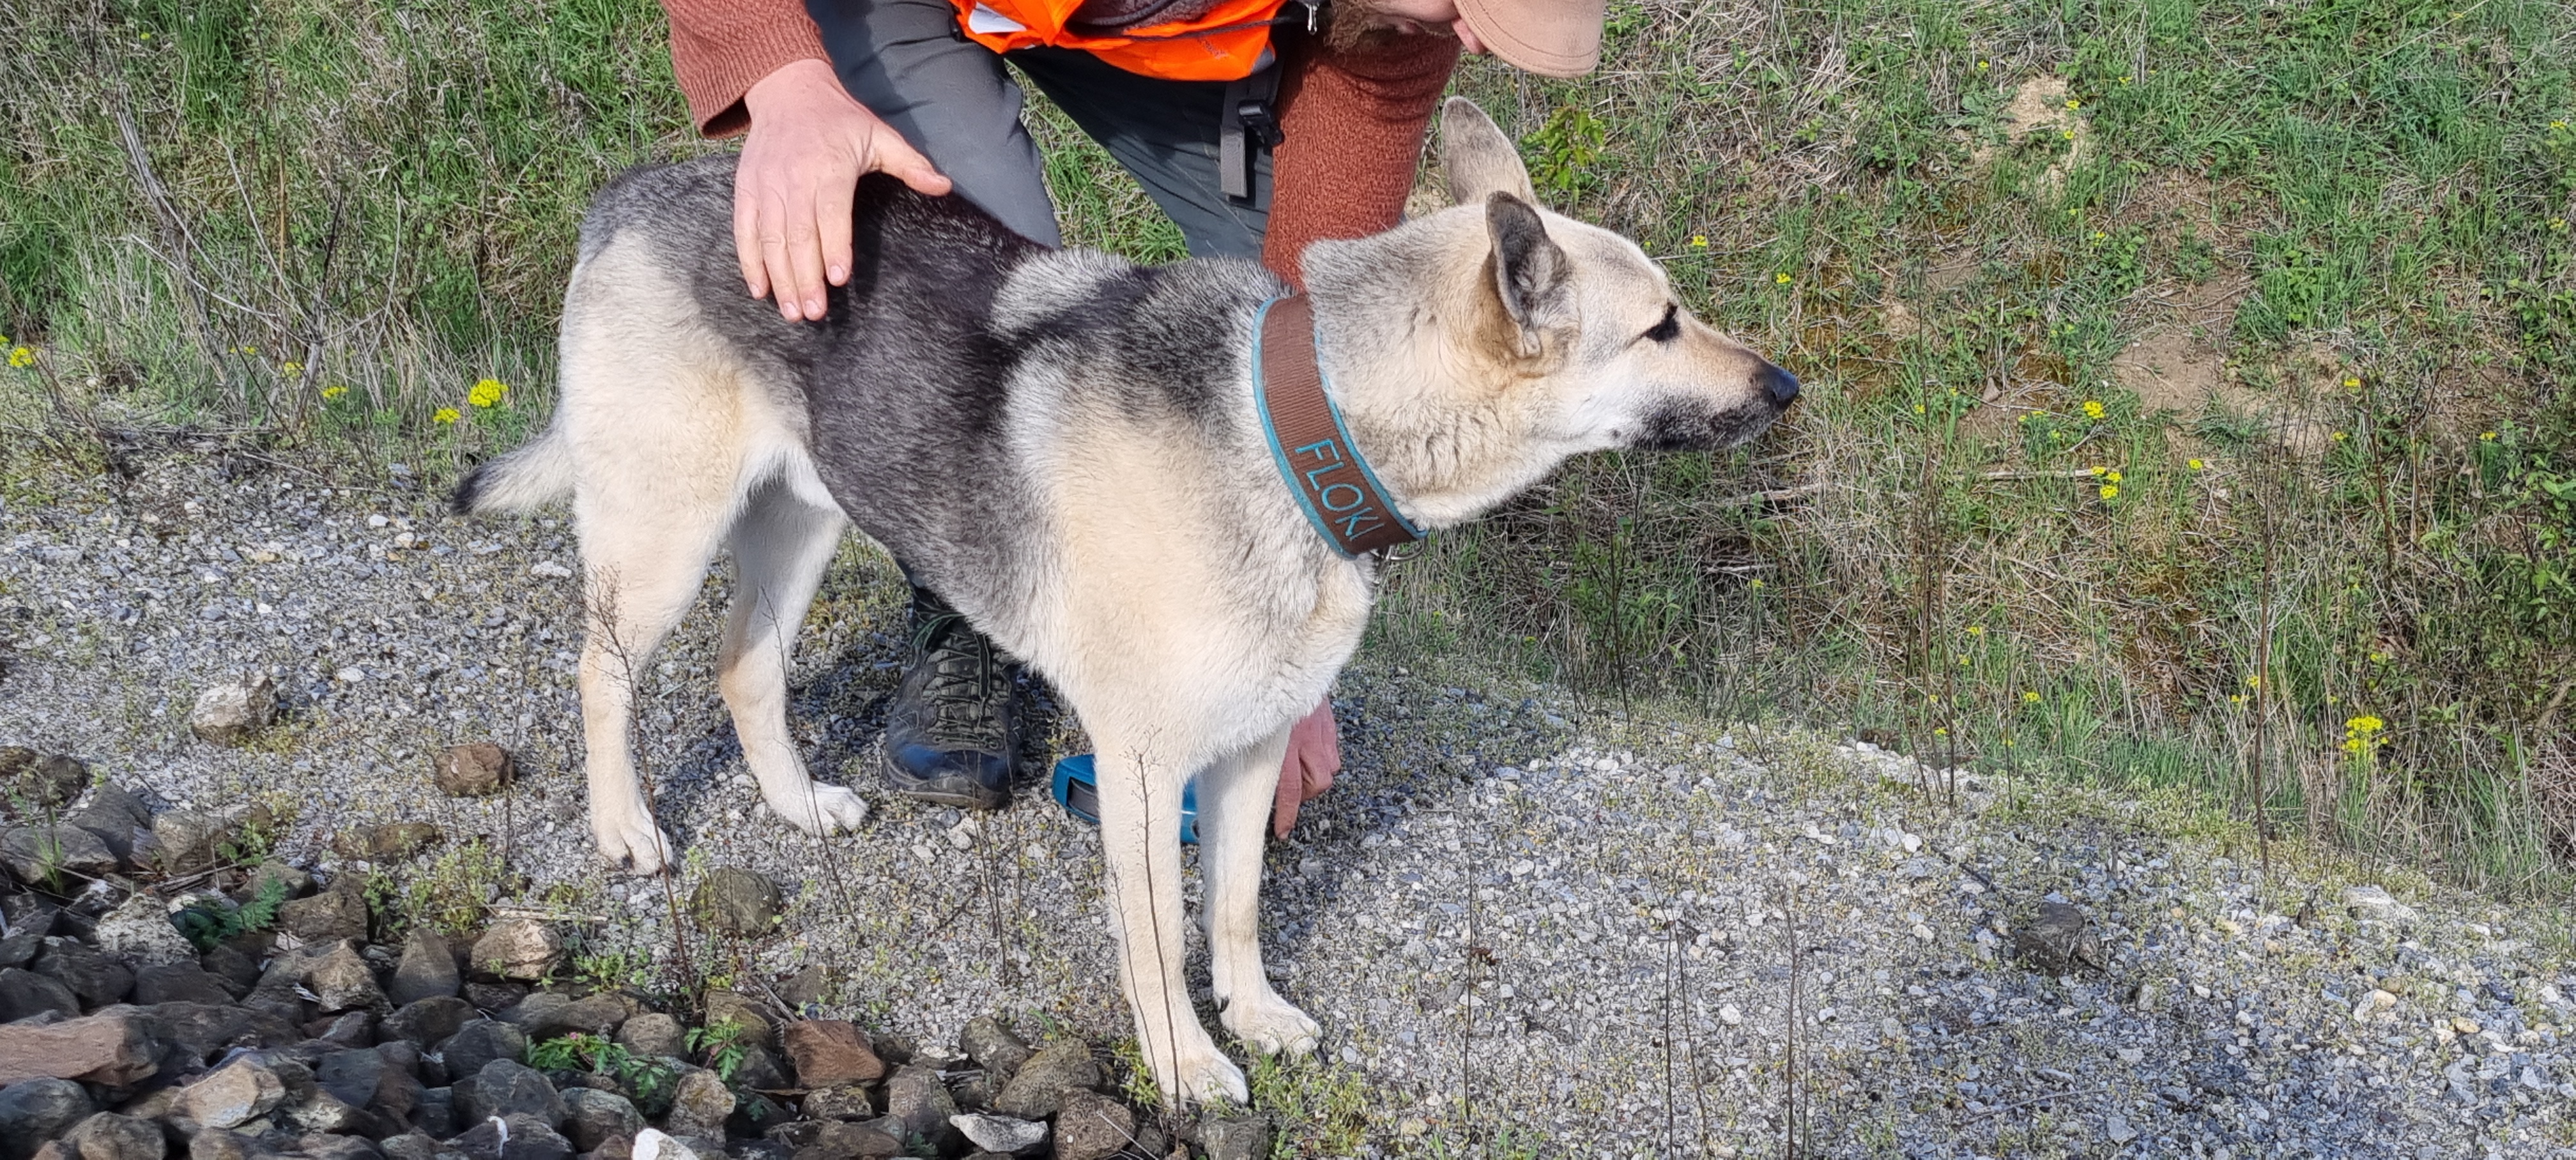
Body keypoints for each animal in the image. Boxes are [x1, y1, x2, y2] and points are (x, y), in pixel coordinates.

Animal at [453, 97, 1793, 1098]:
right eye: (1661, 326)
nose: (1784, 387)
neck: (1294, 429)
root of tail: (629, 193)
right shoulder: (1144, 774)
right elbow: (1155, 942)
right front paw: (1187, 1065)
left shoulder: (1248, 753)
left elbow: (1236, 907)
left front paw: (1253, 1013)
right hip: (664, 537)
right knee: (601, 673)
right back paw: (624, 827)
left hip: (808, 517)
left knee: (744, 665)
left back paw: (793, 805)